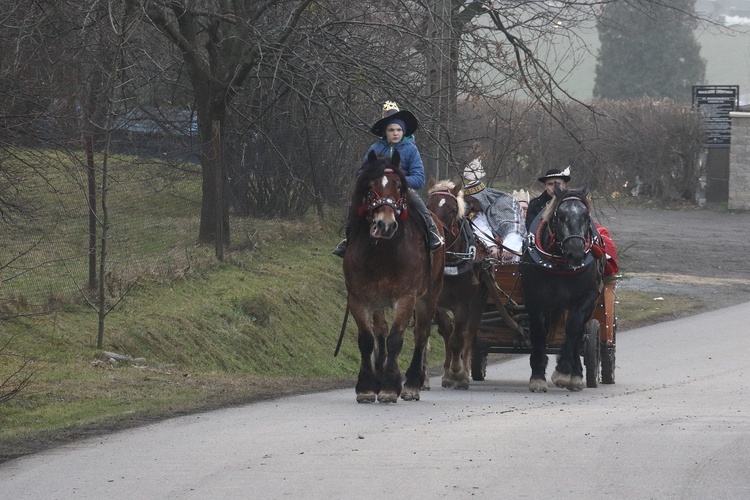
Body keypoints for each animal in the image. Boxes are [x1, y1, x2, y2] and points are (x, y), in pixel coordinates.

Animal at [342, 151, 444, 402]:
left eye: (399, 186)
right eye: (370, 186)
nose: (385, 225)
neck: (382, 252)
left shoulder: (406, 297)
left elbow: (396, 339)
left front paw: (390, 387)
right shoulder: (359, 298)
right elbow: (367, 340)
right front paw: (367, 387)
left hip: (428, 297)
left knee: (421, 335)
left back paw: (413, 383)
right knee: (381, 332)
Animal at [428, 180, 488, 390]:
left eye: (453, 209)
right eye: (428, 206)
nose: (439, 234)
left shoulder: (463, 304)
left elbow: (458, 337)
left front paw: (458, 372)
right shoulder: (435, 303)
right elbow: (447, 331)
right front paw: (448, 372)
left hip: (478, 303)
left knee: (470, 335)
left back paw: (465, 370)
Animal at [524, 184, 604, 390]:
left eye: (586, 216)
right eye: (560, 216)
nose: (575, 251)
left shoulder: (587, 298)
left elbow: (573, 327)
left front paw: (563, 370)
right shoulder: (535, 300)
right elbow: (539, 332)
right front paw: (537, 375)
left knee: (578, 332)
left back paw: (575, 374)